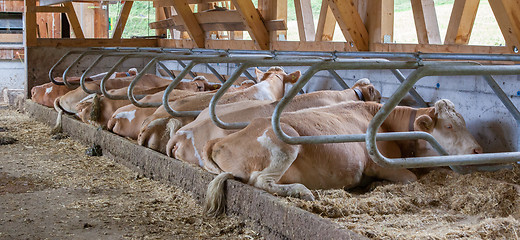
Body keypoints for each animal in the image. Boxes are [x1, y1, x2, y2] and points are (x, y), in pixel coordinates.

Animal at [202, 98, 484, 217]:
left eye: (463, 121)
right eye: (449, 126)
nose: (478, 150)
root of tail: (222, 140)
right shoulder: (383, 166)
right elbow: (410, 177)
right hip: (286, 143)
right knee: (262, 180)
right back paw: (301, 191)